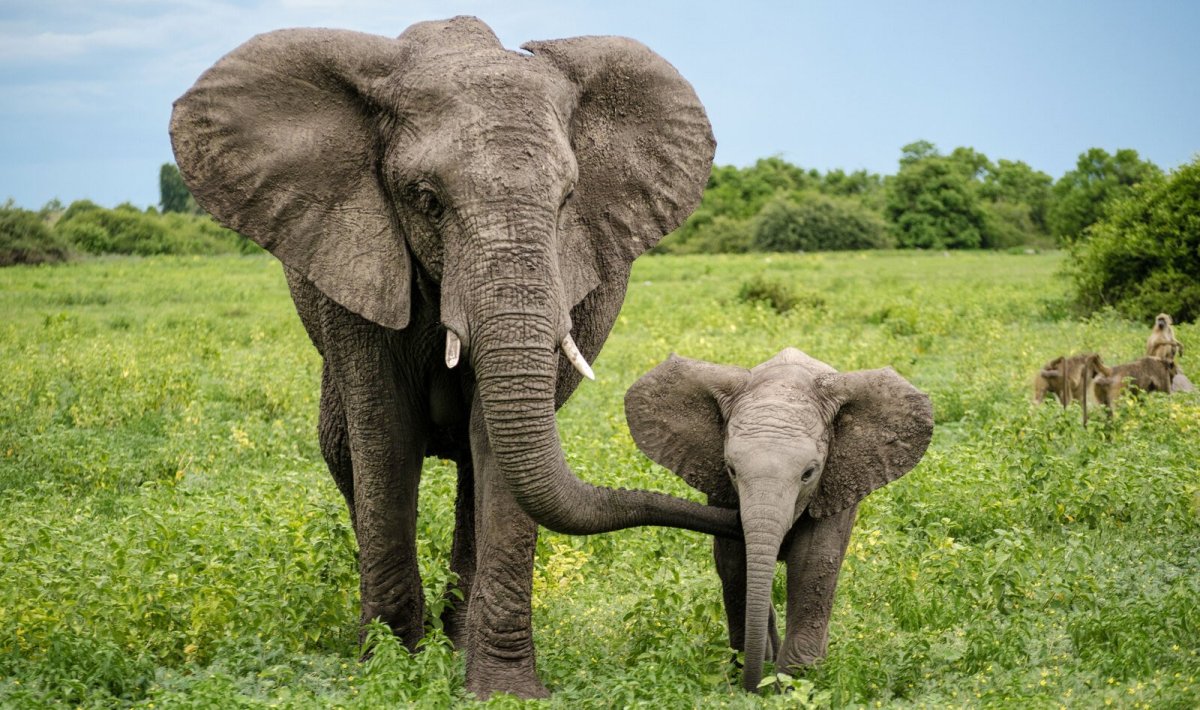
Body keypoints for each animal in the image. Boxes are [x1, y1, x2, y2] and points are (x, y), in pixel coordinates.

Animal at [169, 16, 740, 699]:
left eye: (568, 199)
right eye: (426, 198)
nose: (737, 509)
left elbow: (495, 447)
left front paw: (503, 693)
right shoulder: (355, 262)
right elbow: (384, 436)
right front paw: (389, 674)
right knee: (344, 452)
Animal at [624, 348, 933, 691]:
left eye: (808, 473)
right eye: (731, 469)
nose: (751, 688)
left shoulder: (838, 481)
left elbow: (813, 562)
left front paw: (794, 682)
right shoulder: (720, 486)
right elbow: (734, 562)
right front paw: (755, 670)